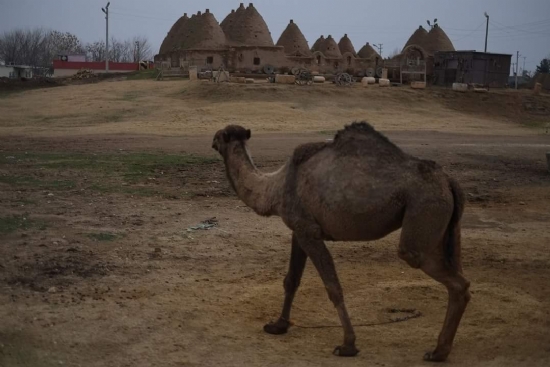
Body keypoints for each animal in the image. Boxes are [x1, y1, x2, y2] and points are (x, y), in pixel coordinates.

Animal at [213, 122, 472, 364]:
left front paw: (348, 345)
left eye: (220, 135)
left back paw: (437, 352)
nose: (213, 141)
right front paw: (278, 326)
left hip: (423, 215)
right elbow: (291, 281)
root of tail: (449, 181)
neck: (275, 188)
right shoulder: (299, 231)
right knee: (459, 276)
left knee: (449, 278)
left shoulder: (308, 231)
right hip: (447, 228)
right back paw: (442, 349)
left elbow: (333, 287)